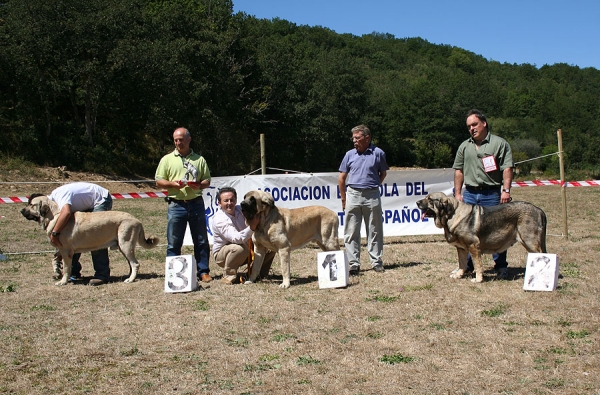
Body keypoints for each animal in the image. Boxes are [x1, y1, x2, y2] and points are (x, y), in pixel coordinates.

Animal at [20, 195, 158, 284]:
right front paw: (58, 271)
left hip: (125, 245)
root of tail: (137, 220)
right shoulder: (64, 250)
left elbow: (66, 268)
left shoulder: (65, 251)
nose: (21, 210)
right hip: (123, 246)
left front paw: (63, 281)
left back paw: (130, 279)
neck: (55, 216)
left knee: (135, 263)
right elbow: (57, 260)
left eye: (31, 205)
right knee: (132, 263)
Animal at [414, 193, 548, 284]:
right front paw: (458, 275)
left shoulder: (473, 246)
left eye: (429, 199)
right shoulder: (461, 249)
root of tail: (539, 210)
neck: (451, 214)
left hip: (530, 242)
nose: (417, 203)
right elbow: (462, 263)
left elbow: (477, 265)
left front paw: (478, 279)